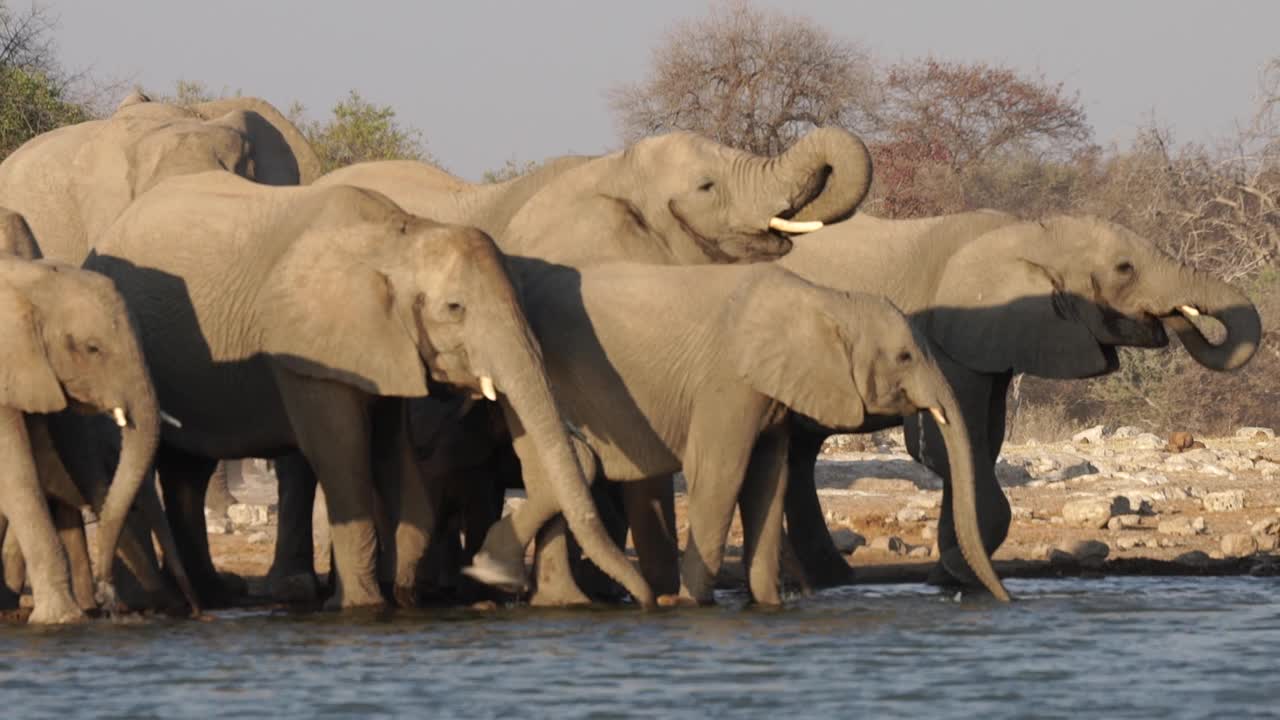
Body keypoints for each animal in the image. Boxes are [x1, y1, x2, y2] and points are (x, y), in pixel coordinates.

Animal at [85, 170, 655, 607]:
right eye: (455, 308)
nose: (644, 599)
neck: (398, 239)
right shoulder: (309, 351)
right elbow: (342, 457)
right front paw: (361, 605)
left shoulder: (386, 345)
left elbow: (394, 458)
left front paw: (401, 595)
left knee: (187, 471)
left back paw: (215, 598)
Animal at [463, 258, 1008, 604]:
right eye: (905, 357)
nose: (1005, 599)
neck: (823, 297)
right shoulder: (728, 381)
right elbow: (721, 473)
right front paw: (690, 604)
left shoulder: (770, 389)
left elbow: (768, 479)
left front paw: (767, 605)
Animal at [773, 211, 1264, 589]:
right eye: (1125, 269)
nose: (1175, 316)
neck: (1030, 233)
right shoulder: (947, 339)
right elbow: (947, 445)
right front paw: (959, 571)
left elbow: (982, 442)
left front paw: (952, 572)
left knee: (797, 455)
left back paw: (829, 581)